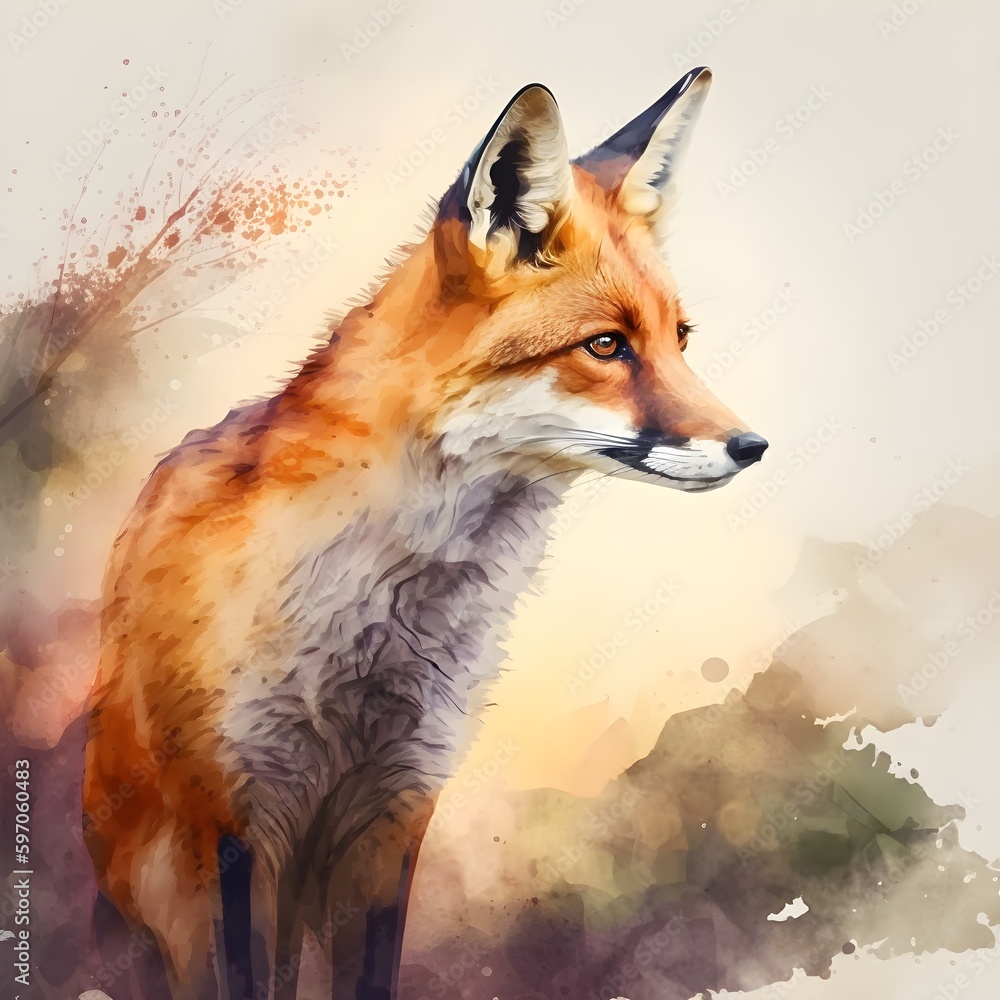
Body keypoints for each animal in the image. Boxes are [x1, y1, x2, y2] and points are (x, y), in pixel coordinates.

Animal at [82, 66, 767, 1000]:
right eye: (606, 346)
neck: (379, 628)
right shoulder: (230, 826)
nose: (753, 447)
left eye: (680, 340)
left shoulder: (394, 814)